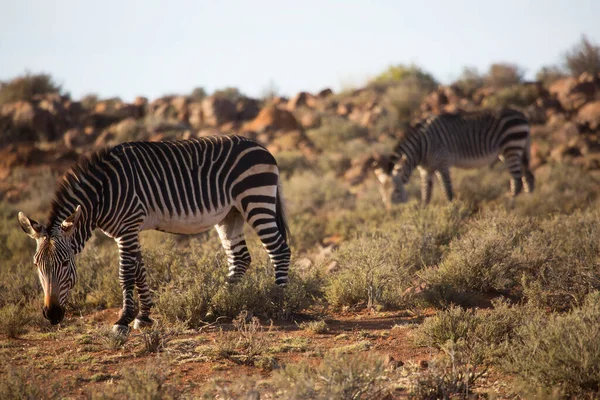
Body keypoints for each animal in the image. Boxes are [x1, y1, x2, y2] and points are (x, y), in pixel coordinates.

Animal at [18, 135, 290, 334]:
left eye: (65, 263)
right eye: (36, 265)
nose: (51, 315)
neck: (102, 194)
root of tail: (263, 148)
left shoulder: (127, 228)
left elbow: (126, 273)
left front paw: (123, 320)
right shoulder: (130, 230)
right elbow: (140, 270)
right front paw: (144, 316)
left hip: (256, 199)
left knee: (279, 250)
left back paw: (278, 301)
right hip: (230, 214)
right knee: (240, 258)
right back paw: (220, 302)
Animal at [372, 108, 536, 206]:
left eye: (395, 192)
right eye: (381, 194)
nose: (390, 214)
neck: (421, 147)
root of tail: (522, 115)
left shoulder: (442, 164)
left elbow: (447, 191)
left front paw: (451, 211)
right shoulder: (425, 170)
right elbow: (426, 195)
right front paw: (424, 216)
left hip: (512, 148)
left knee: (516, 181)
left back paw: (511, 206)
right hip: (513, 151)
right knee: (528, 177)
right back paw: (529, 202)